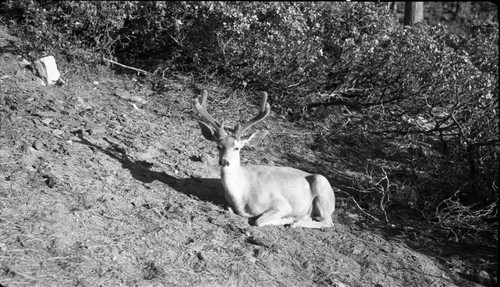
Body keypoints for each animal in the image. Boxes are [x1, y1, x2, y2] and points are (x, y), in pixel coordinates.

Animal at [193, 90, 334, 230]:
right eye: (218, 146)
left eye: (237, 148)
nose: (224, 162)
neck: (242, 196)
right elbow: (230, 209)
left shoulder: (282, 203)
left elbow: (258, 221)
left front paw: (288, 219)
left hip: (322, 187)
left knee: (328, 221)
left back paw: (296, 222)